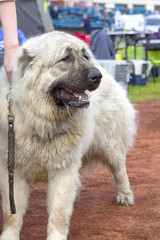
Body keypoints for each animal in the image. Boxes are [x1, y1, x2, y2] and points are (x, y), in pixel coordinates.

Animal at [0, 31, 136, 240]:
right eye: (66, 58)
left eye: (85, 56)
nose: (97, 76)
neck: (42, 120)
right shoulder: (12, 172)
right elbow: (11, 212)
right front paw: (9, 235)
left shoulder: (63, 170)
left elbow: (58, 211)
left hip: (109, 146)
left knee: (120, 170)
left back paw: (125, 195)